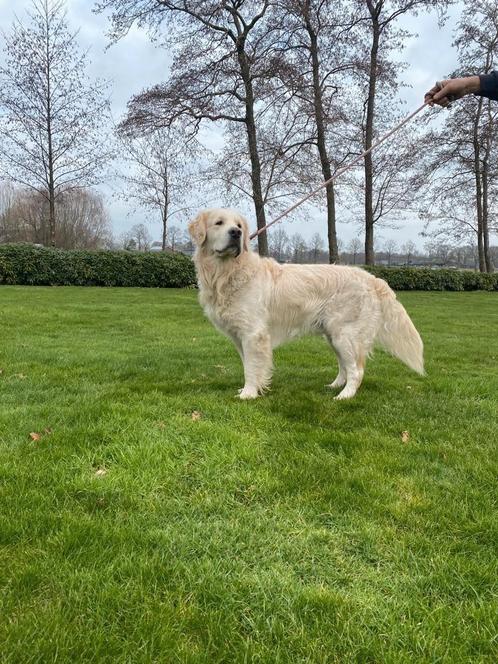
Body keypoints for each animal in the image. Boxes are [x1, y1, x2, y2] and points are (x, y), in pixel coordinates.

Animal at [189, 208, 422, 400]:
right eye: (219, 223)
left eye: (238, 225)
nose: (236, 234)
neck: (226, 273)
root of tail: (371, 278)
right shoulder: (240, 337)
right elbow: (248, 364)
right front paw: (249, 389)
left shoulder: (253, 334)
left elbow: (252, 367)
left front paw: (249, 394)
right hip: (332, 336)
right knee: (344, 366)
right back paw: (335, 385)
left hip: (345, 334)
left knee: (356, 369)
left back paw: (344, 396)